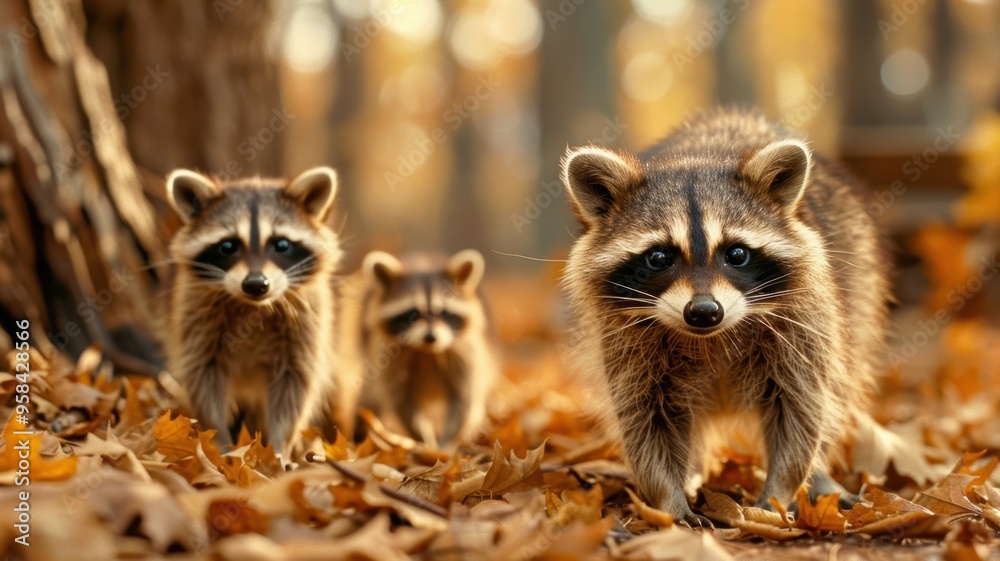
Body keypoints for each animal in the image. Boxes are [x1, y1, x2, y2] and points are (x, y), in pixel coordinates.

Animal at [164, 167, 345, 459]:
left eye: (281, 245)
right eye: (228, 246)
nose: (256, 284)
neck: (253, 307)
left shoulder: (305, 323)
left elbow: (294, 386)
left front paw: (279, 449)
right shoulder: (196, 314)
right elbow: (203, 379)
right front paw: (220, 443)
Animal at [352, 249, 499, 446]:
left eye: (443, 312)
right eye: (412, 313)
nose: (430, 337)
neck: (427, 351)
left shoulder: (465, 350)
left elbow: (464, 398)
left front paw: (447, 441)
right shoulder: (388, 353)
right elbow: (402, 399)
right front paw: (423, 439)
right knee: (368, 399)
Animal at [560, 109, 889, 526]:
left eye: (736, 254)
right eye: (659, 257)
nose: (704, 311)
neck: (711, 338)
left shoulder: (805, 321)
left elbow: (802, 408)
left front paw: (780, 491)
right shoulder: (626, 342)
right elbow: (646, 420)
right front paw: (668, 498)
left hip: (857, 287)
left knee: (838, 386)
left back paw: (819, 477)